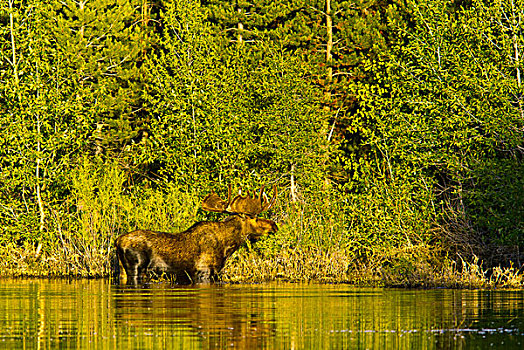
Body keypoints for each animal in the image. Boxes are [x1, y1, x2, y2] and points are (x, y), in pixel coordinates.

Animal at [114, 186, 278, 284]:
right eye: (254, 217)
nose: (274, 225)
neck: (227, 247)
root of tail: (117, 241)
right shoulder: (204, 271)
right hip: (136, 266)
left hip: (122, 268)